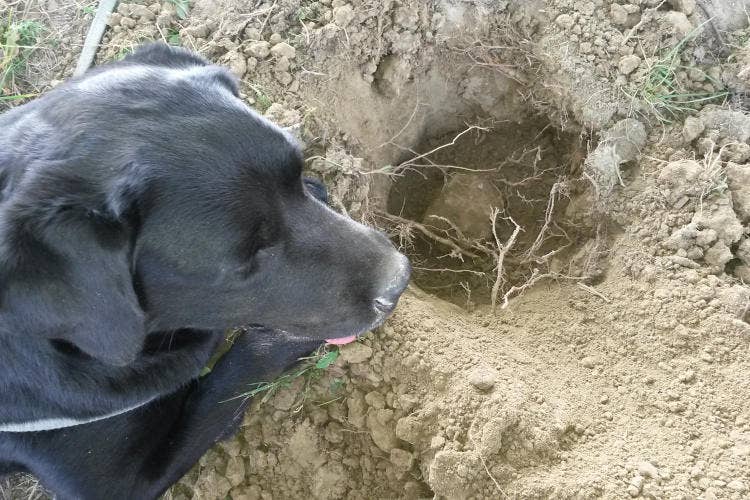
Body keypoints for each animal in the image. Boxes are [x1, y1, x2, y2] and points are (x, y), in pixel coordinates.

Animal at [0, 44, 412, 500]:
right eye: (245, 259)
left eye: (298, 171)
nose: (400, 279)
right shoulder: (119, 484)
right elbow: (226, 379)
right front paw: (280, 341)